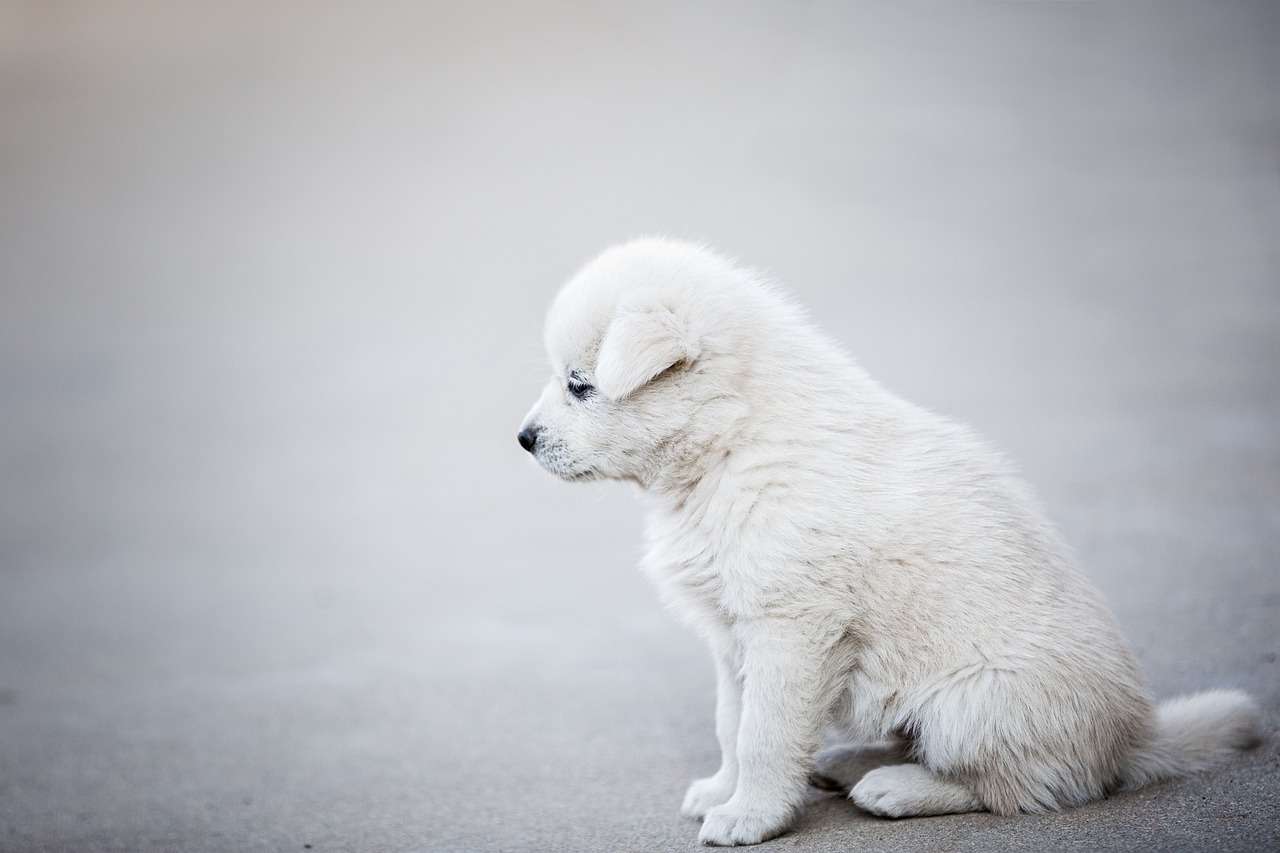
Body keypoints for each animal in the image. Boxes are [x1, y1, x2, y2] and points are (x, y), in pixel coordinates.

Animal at [517, 239, 1259, 845]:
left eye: (580, 385)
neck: (733, 442)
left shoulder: (791, 628)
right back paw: (848, 762)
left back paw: (896, 788)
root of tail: (1133, 741)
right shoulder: (733, 633)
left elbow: (764, 732)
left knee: (1024, 787)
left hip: (974, 703)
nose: (523, 438)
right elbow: (732, 721)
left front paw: (750, 815)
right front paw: (722, 791)